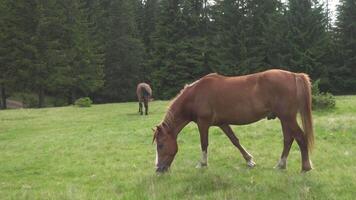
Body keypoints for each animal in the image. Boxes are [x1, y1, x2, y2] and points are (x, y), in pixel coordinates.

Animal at [153, 69, 314, 173]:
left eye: (160, 145)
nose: (159, 169)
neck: (195, 95)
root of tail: (293, 75)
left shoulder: (203, 123)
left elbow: (204, 143)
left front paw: (202, 164)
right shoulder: (222, 123)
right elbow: (235, 140)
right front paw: (249, 161)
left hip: (287, 118)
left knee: (300, 137)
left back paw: (306, 167)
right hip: (285, 119)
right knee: (288, 139)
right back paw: (281, 165)